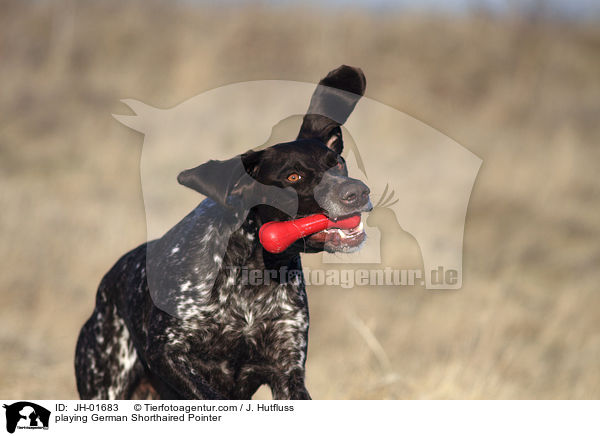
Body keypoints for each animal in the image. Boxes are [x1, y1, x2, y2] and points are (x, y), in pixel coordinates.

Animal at [75, 64, 370, 398]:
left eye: (339, 164)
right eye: (292, 176)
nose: (357, 192)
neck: (251, 272)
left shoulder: (287, 370)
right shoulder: (166, 351)